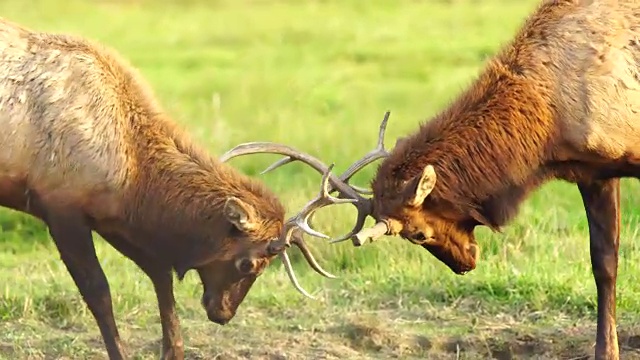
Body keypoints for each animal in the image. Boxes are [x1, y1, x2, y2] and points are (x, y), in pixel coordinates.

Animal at [0, 15, 344, 358]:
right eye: (249, 263)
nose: (223, 313)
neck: (132, 177)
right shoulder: (61, 207)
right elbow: (99, 291)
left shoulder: (111, 218)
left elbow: (160, 274)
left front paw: (173, 349)